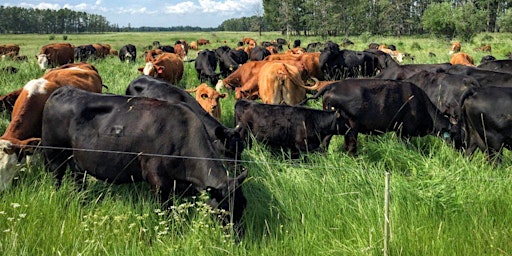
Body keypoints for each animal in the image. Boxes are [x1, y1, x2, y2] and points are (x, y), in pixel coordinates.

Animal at [41, 86, 246, 232]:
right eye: (224, 211)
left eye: (243, 206)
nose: (237, 238)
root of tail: (62, 90)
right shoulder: (158, 181)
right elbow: (165, 211)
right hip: (55, 155)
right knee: (57, 178)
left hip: (76, 161)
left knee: (77, 179)